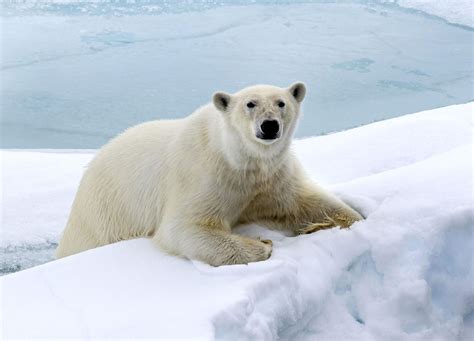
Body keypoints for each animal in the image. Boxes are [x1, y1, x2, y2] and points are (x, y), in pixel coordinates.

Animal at [55, 83, 362, 266]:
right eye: (250, 104)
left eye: (281, 102)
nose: (269, 125)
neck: (239, 159)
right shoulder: (204, 173)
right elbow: (184, 228)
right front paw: (263, 244)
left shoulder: (271, 178)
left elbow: (303, 203)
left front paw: (344, 220)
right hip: (103, 217)